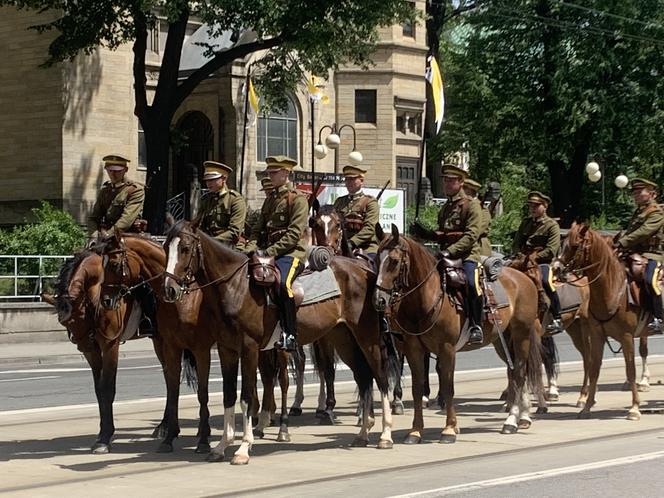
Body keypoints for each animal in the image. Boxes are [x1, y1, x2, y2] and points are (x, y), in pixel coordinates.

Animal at [165, 220, 400, 464]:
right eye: (165, 247)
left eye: (185, 248)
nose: (169, 288)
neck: (236, 286)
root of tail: (365, 270)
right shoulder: (226, 349)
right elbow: (229, 395)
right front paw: (221, 447)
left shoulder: (249, 348)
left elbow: (246, 397)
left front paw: (243, 448)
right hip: (343, 338)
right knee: (363, 378)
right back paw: (363, 433)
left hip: (367, 337)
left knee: (381, 378)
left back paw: (385, 435)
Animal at [374, 225, 544, 440]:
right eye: (377, 259)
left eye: (394, 261)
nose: (379, 299)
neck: (428, 296)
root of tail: (523, 278)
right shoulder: (414, 349)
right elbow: (417, 388)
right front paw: (415, 431)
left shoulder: (447, 349)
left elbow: (448, 388)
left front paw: (449, 429)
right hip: (504, 340)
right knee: (514, 372)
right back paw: (523, 416)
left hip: (522, 334)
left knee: (520, 372)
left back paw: (511, 421)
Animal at [556, 223, 652, 420]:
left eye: (575, 245)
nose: (557, 269)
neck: (612, 290)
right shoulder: (597, 335)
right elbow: (594, 367)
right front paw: (586, 406)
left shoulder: (627, 336)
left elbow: (631, 369)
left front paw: (634, 408)